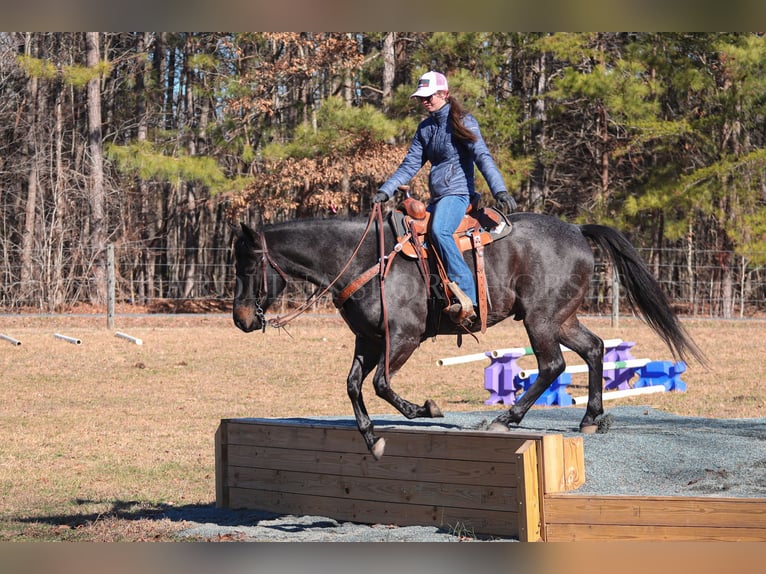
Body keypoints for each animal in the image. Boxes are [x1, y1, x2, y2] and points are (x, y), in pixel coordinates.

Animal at [232, 206, 708, 460]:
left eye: (250, 264)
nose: (241, 319)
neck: (366, 258)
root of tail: (577, 229)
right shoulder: (369, 340)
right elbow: (353, 385)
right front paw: (371, 438)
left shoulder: (403, 337)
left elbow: (383, 384)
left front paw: (425, 408)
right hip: (562, 319)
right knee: (593, 349)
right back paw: (590, 418)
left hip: (540, 321)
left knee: (552, 364)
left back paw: (506, 418)